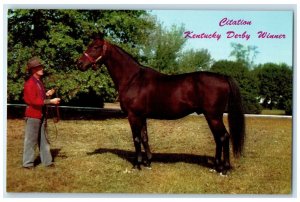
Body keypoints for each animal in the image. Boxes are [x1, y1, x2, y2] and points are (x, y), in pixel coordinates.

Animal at [76, 35, 245, 174]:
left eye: (95, 47)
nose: (78, 63)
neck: (133, 79)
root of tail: (223, 77)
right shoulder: (142, 116)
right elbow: (144, 138)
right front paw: (148, 162)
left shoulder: (133, 116)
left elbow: (136, 139)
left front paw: (137, 165)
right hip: (212, 116)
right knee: (218, 138)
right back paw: (216, 167)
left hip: (213, 116)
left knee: (224, 137)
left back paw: (224, 169)